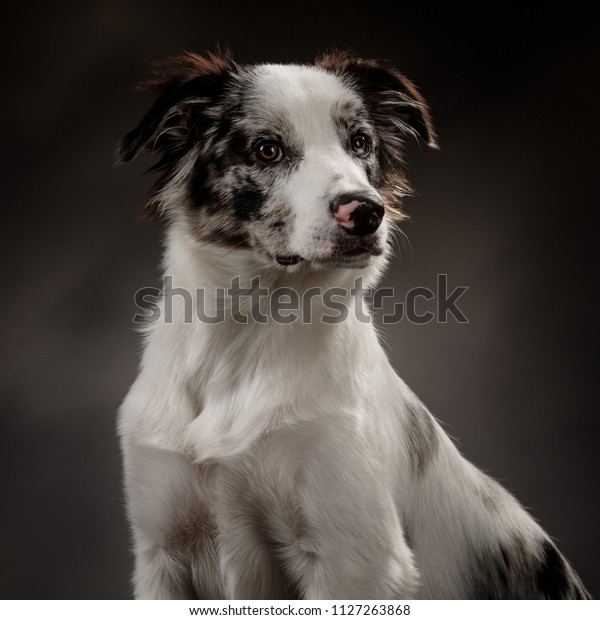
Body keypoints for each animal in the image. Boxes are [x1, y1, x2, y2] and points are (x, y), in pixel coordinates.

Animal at [117, 50, 592, 600]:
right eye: (267, 149)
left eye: (360, 142)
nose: (366, 212)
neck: (244, 342)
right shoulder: (162, 553)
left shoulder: (356, 560)